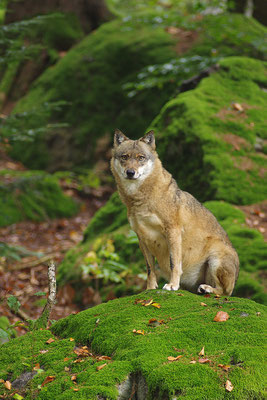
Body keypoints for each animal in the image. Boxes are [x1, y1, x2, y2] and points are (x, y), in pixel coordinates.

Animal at [111, 130, 241, 296]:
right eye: (124, 157)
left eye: (141, 158)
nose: (130, 172)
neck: (140, 200)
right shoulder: (142, 238)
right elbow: (149, 269)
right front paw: (150, 289)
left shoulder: (172, 231)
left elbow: (174, 263)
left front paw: (172, 285)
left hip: (216, 258)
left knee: (223, 292)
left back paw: (206, 289)